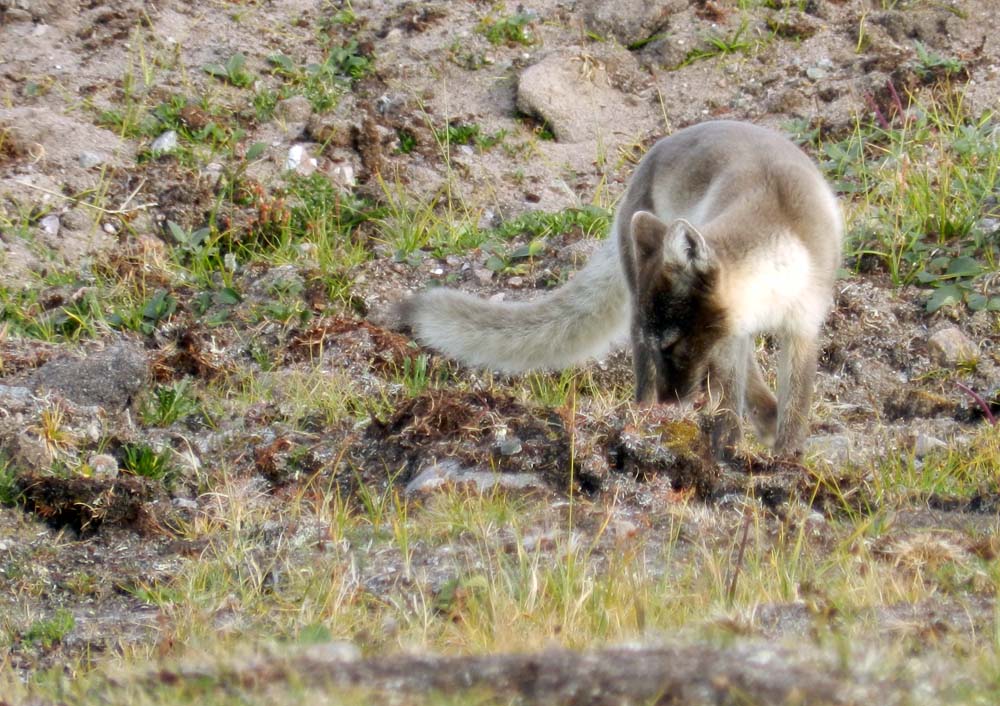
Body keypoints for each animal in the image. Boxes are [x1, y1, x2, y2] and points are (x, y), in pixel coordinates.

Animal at [399, 120, 843, 458]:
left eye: (673, 344)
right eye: (662, 345)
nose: (666, 406)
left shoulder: (802, 325)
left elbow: (796, 404)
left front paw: (785, 459)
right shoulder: (728, 337)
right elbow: (729, 406)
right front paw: (726, 454)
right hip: (639, 310)